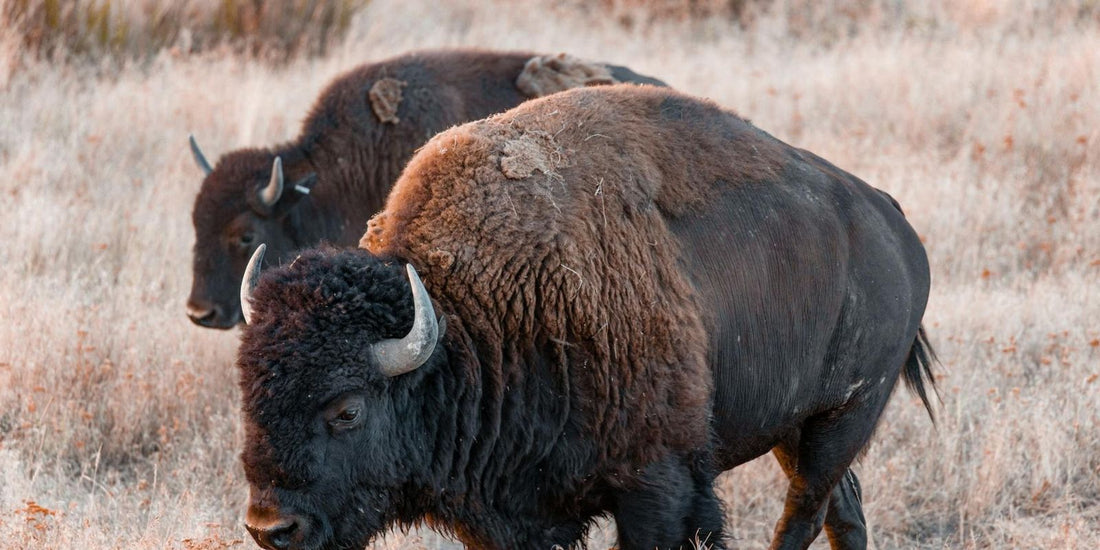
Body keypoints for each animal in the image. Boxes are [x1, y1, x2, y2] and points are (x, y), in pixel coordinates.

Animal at [234, 82, 937, 550]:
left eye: (347, 410)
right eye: (248, 396)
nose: (272, 527)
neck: (470, 319)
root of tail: (891, 221)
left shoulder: (659, 484)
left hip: (842, 417)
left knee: (806, 511)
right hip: (797, 428)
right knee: (843, 508)